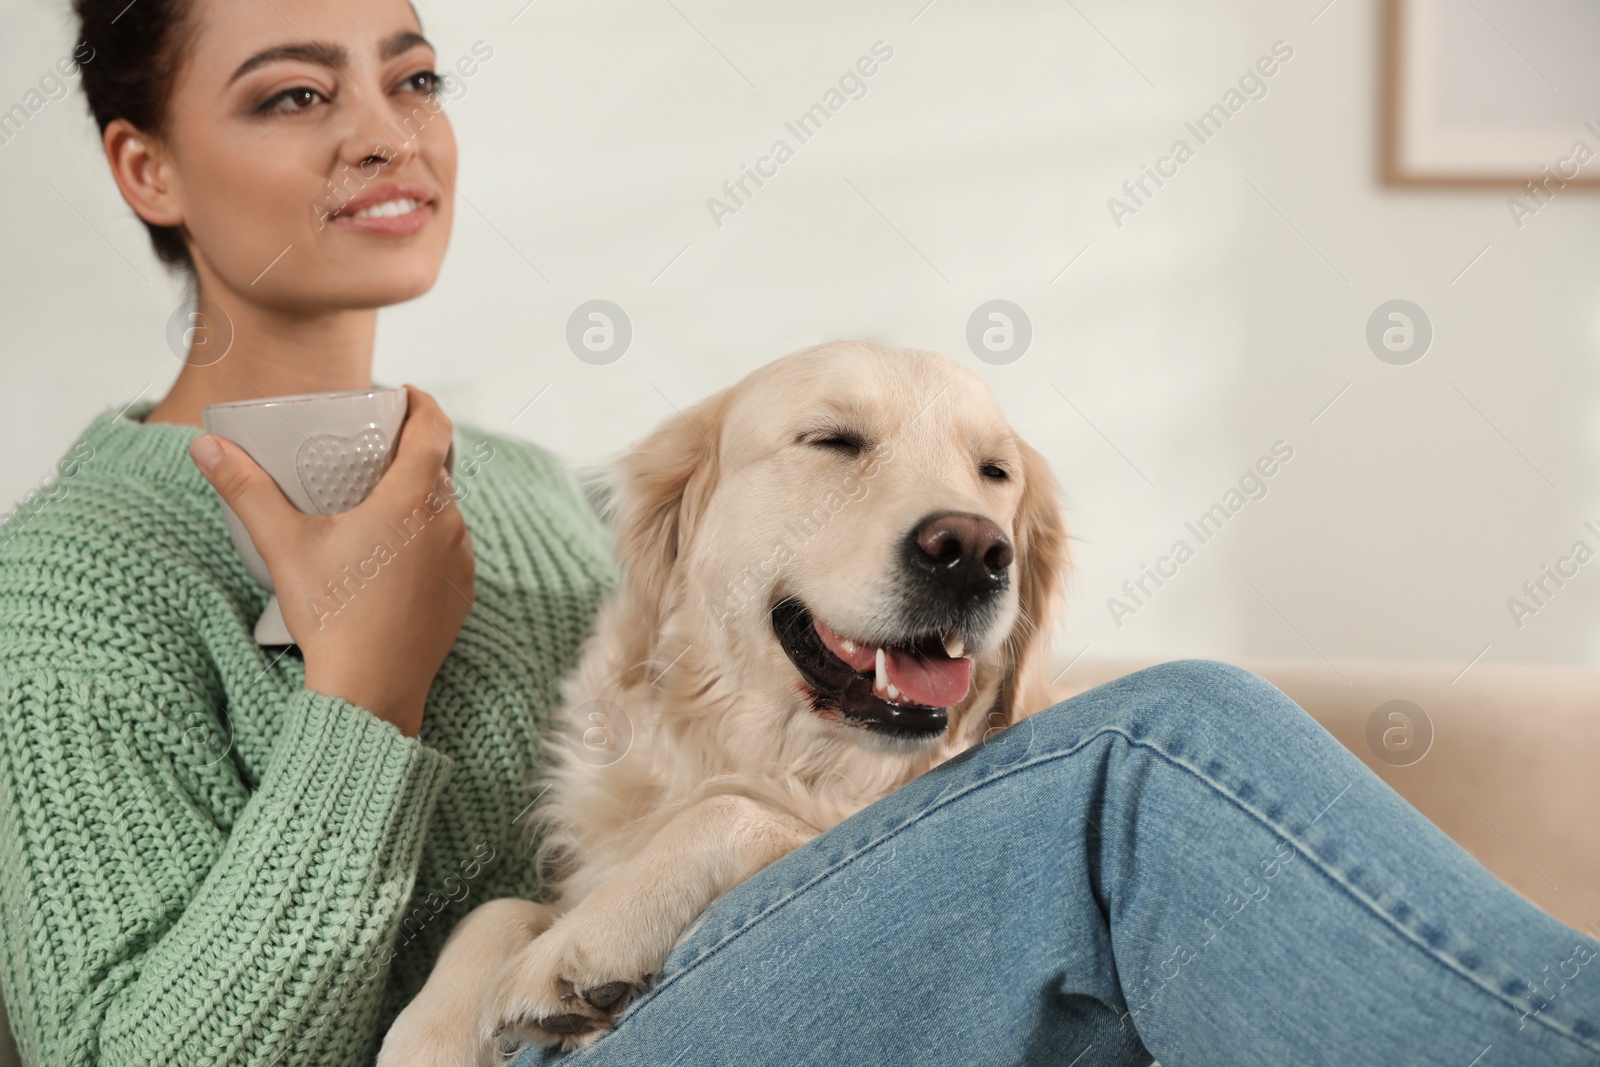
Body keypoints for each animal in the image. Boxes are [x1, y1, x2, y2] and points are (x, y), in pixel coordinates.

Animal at [379, 342, 1068, 1067]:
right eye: (833, 440)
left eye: (994, 472)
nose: (973, 551)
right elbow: (495, 908)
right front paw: (431, 1031)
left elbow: (728, 809)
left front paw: (589, 936)